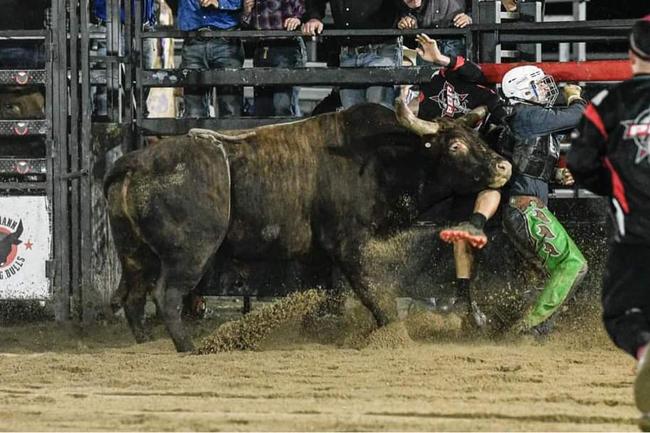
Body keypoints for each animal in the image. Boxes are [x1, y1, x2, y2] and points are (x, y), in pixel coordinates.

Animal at [104, 101, 508, 352]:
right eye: (454, 146)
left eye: (477, 137)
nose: (503, 166)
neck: (383, 158)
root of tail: (132, 163)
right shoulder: (350, 245)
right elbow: (375, 294)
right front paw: (394, 337)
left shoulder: (317, 255)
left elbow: (323, 295)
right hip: (189, 253)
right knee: (167, 296)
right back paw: (190, 347)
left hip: (136, 253)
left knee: (134, 297)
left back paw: (147, 343)